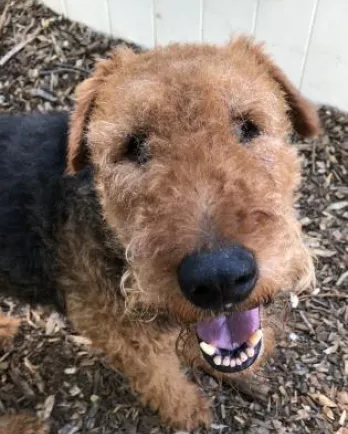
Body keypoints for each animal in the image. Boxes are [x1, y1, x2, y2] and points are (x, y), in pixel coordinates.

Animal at [0, 35, 320, 428]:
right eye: (132, 146)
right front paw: (189, 411)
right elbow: (160, 378)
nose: (219, 278)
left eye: (248, 126)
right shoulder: (120, 337)